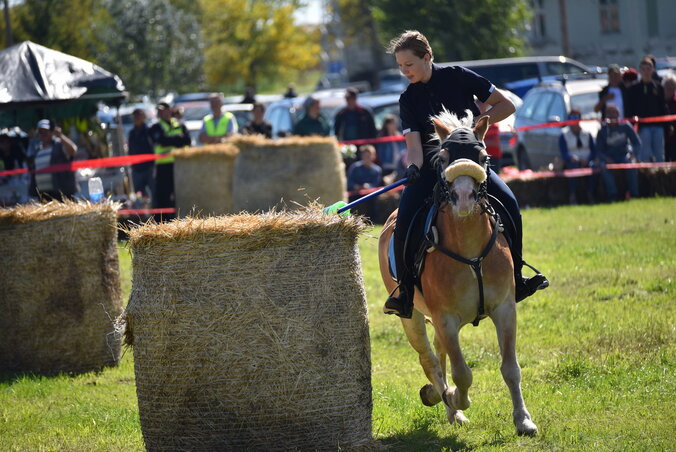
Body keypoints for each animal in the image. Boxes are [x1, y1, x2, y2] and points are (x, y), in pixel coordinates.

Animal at [374, 108, 540, 434]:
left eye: (484, 156)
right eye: (442, 158)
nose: (463, 197)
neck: (470, 250)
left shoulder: (504, 308)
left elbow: (510, 368)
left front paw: (523, 420)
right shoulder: (446, 319)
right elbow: (462, 374)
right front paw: (454, 398)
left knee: (439, 355)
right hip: (412, 317)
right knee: (430, 360)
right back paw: (447, 403)